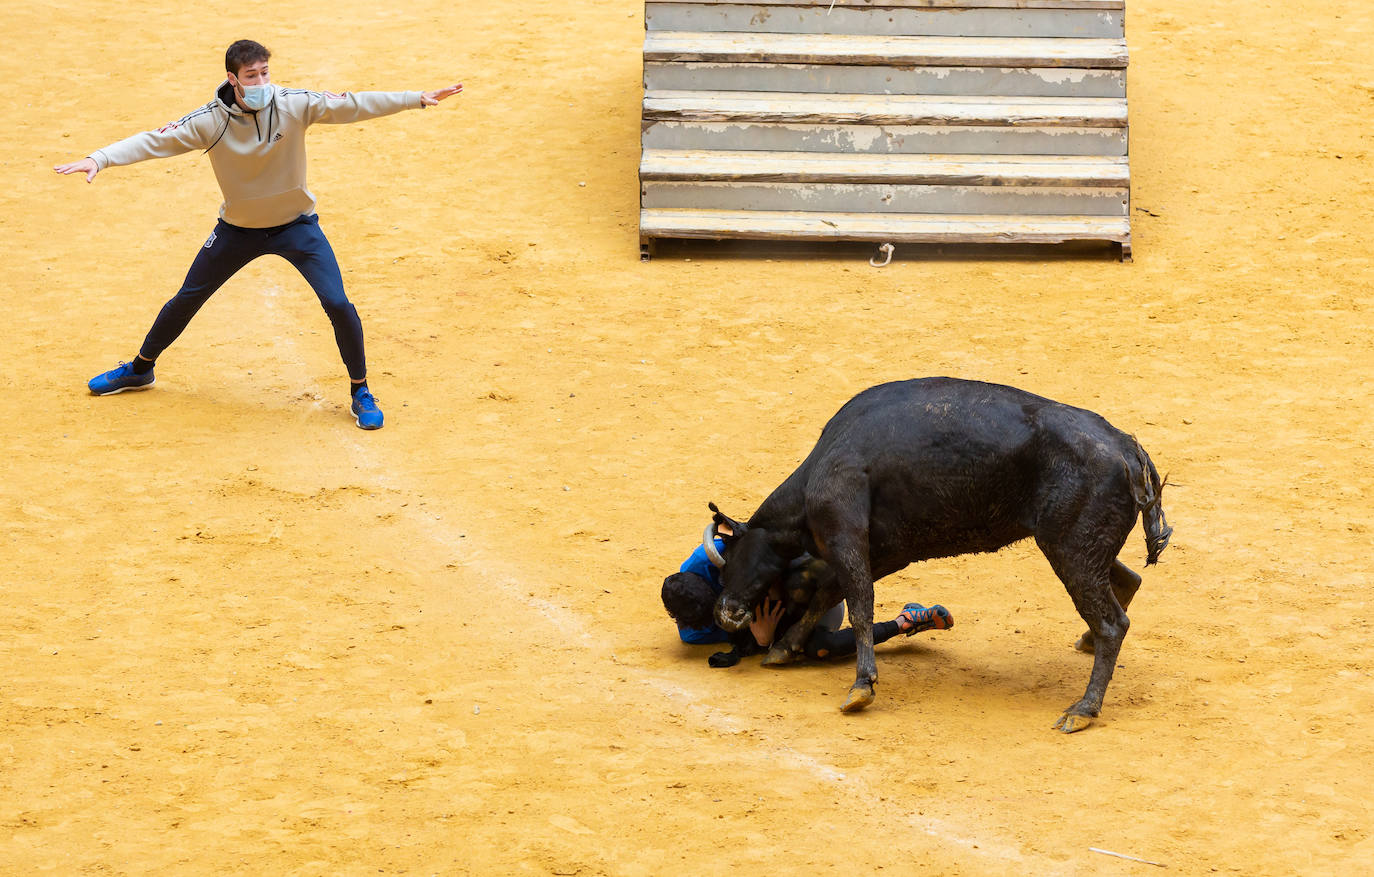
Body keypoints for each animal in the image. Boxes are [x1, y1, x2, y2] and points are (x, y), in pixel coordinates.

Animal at [708, 379, 1170, 736]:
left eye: (731, 554)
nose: (725, 613)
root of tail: (1127, 448)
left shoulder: (847, 537)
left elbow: (858, 605)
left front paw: (861, 688)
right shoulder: (887, 552)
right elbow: (829, 593)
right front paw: (784, 648)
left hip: (1070, 550)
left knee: (1113, 622)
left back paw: (1083, 709)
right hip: (1073, 546)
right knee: (1128, 582)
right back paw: (1087, 643)